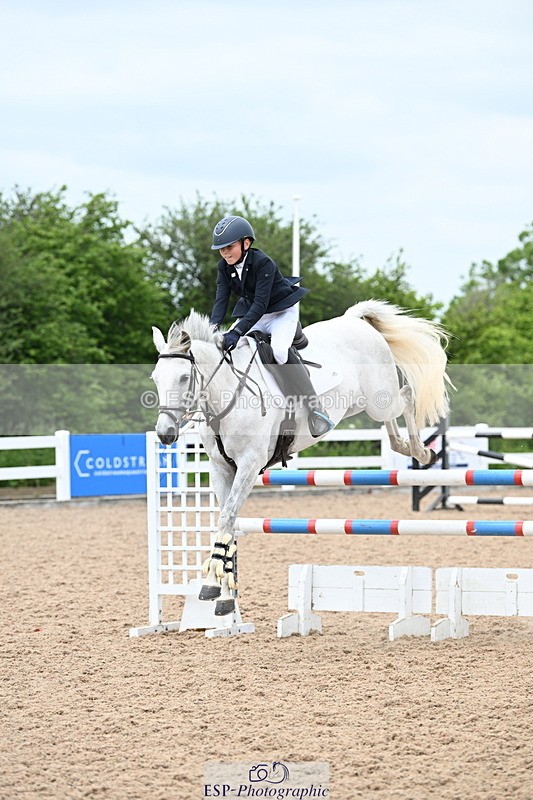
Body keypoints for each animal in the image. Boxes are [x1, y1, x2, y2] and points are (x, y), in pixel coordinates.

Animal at [151, 300, 452, 616]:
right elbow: (227, 522)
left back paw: (421, 452)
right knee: (391, 422)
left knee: (406, 398)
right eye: (155, 378)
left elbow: (227, 517)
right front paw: (223, 596)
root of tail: (354, 320)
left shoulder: (249, 465)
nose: (165, 434)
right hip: (362, 404)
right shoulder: (221, 469)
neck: (227, 393)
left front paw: (212, 585)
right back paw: (404, 446)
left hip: (380, 399)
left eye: (185, 377)